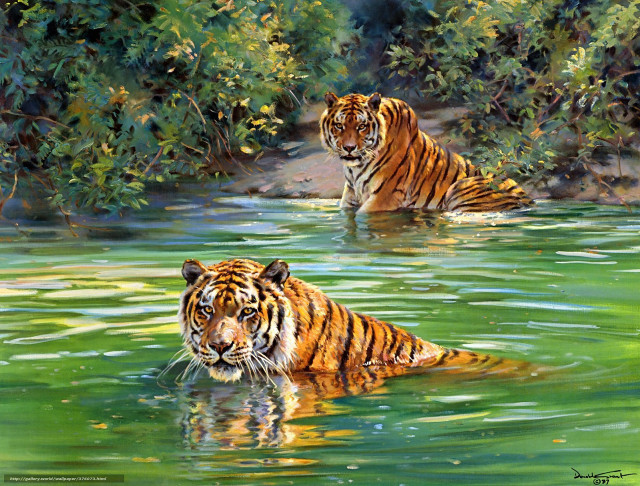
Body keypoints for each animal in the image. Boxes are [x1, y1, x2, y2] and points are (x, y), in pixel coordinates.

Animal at [320, 92, 533, 212]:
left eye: (362, 126)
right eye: (339, 125)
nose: (349, 148)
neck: (355, 168)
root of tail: (529, 200)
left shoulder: (386, 194)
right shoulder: (351, 196)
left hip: (460, 189)